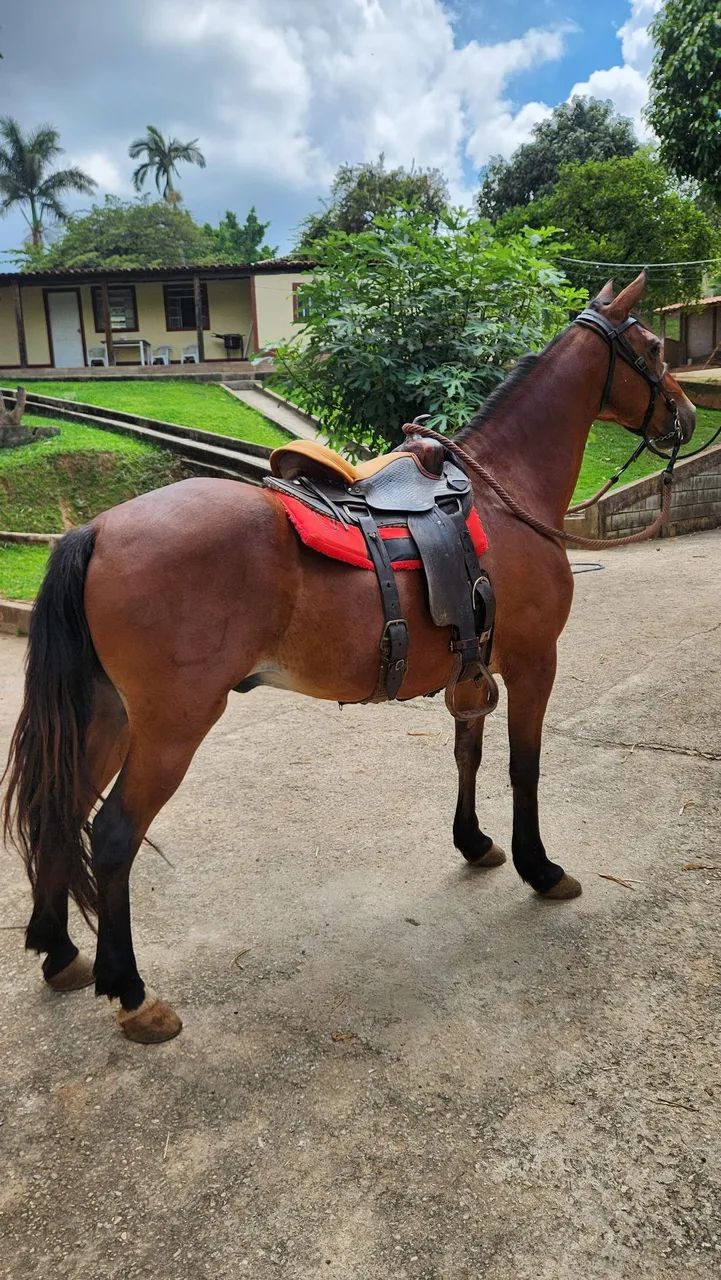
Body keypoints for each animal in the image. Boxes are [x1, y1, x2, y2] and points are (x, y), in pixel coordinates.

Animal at [2, 271, 696, 1043]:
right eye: (652, 346)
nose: (688, 415)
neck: (501, 492)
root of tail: (96, 529)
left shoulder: (471, 669)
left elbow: (467, 755)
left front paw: (473, 842)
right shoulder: (532, 661)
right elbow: (524, 767)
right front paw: (538, 869)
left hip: (106, 714)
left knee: (61, 805)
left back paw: (59, 950)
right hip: (170, 725)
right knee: (113, 833)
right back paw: (130, 992)